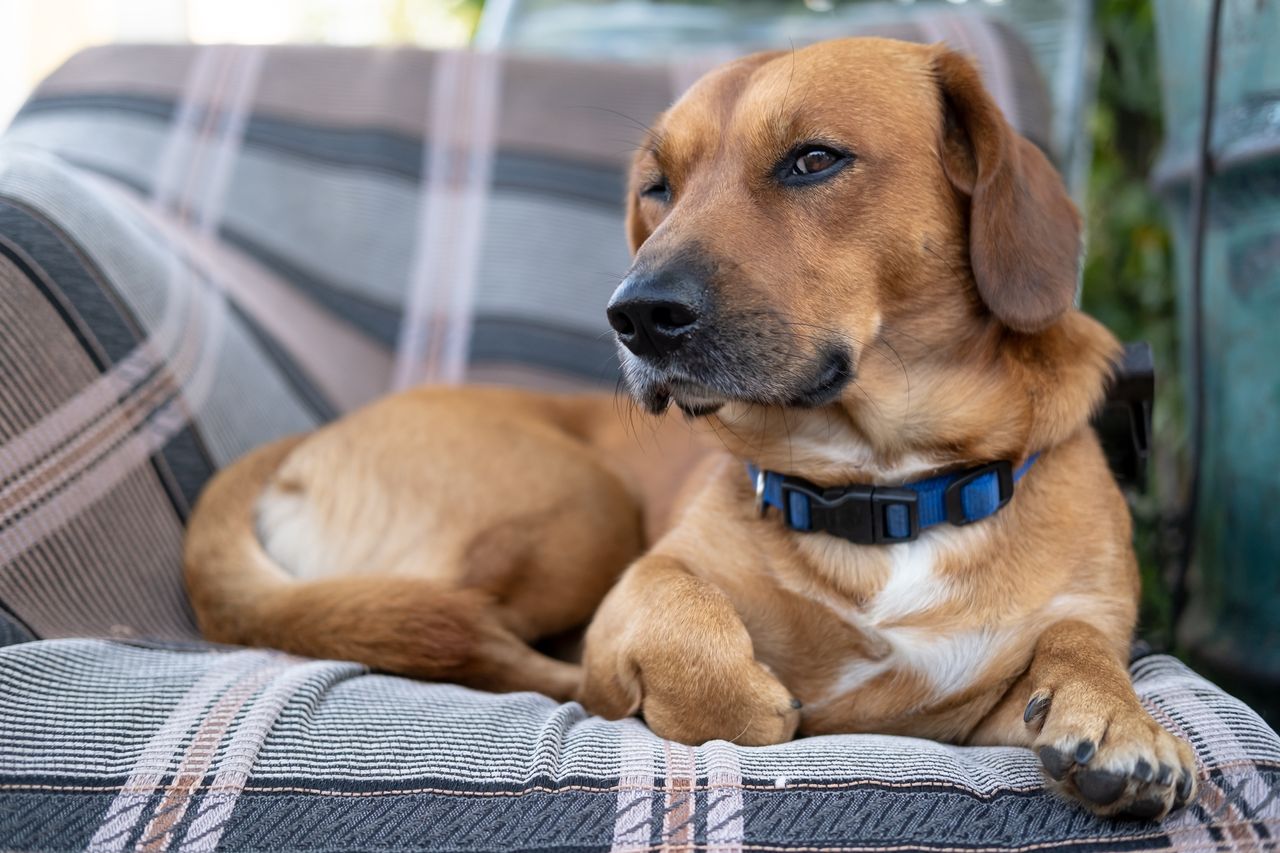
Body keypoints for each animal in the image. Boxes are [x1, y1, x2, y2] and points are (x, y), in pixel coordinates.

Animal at [183, 38, 1198, 819]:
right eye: (658, 186)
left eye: (814, 160)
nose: (634, 314)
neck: (880, 482)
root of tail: (289, 453)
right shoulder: (645, 588)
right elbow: (691, 630)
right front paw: (740, 697)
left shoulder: (1003, 684)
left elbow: (1080, 642)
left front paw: (1116, 714)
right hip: (581, 508)